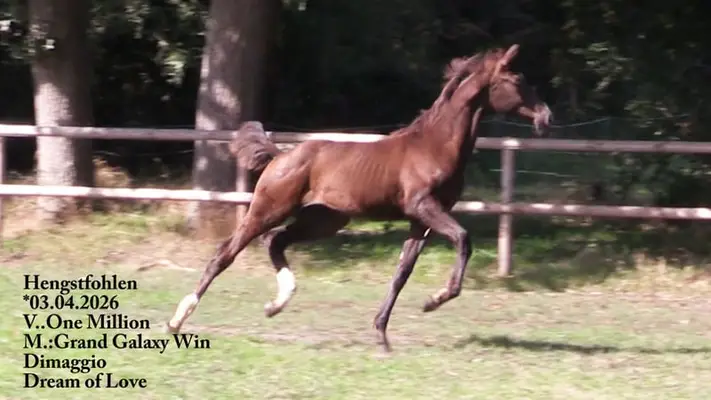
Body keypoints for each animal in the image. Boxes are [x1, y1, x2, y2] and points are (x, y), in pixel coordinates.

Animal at [166, 44, 552, 351]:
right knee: (225, 253)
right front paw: (435, 300)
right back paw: (178, 319)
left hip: (323, 220)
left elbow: (402, 272)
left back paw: (276, 305)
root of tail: (280, 156)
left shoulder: (420, 220)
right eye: (517, 80)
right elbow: (463, 238)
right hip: (269, 208)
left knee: (275, 241)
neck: (435, 145)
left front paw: (382, 335)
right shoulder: (423, 207)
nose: (546, 117)